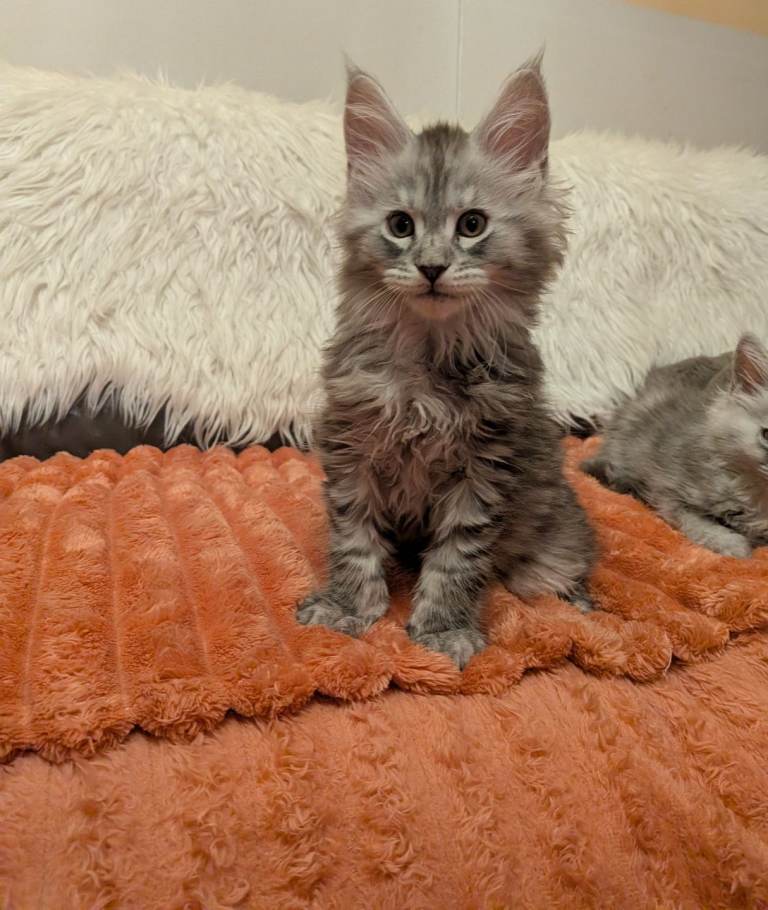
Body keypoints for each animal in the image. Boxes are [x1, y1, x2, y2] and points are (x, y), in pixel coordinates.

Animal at [296, 56, 596, 668]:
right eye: (401, 225)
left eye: (472, 224)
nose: (432, 267)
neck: (427, 363)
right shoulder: (351, 448)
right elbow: (353, 541)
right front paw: (349, 608)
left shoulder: (486, 469)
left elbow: (458, 560)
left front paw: (442, 629)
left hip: (550, 546)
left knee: (559, 575)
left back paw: (576, 602)